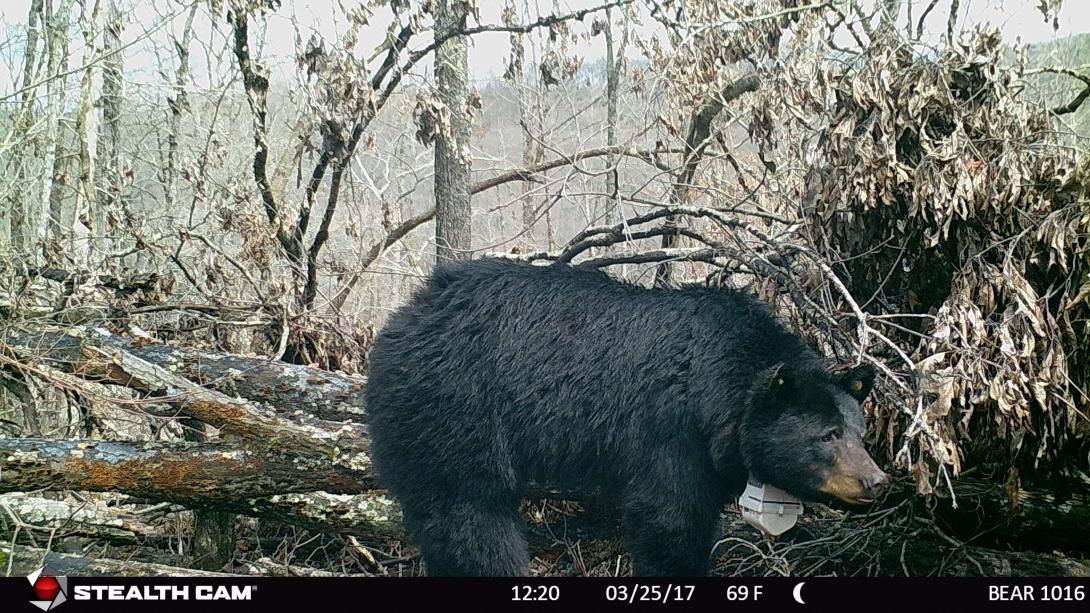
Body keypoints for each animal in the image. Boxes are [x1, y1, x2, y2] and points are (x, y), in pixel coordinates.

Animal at [366, 256, 893, 571]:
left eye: (859, 431)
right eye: (827, 435)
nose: (876, 481)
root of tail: (404, 316)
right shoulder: (670, 431)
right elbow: (669, 519)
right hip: (452, 412)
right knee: (470, 515)